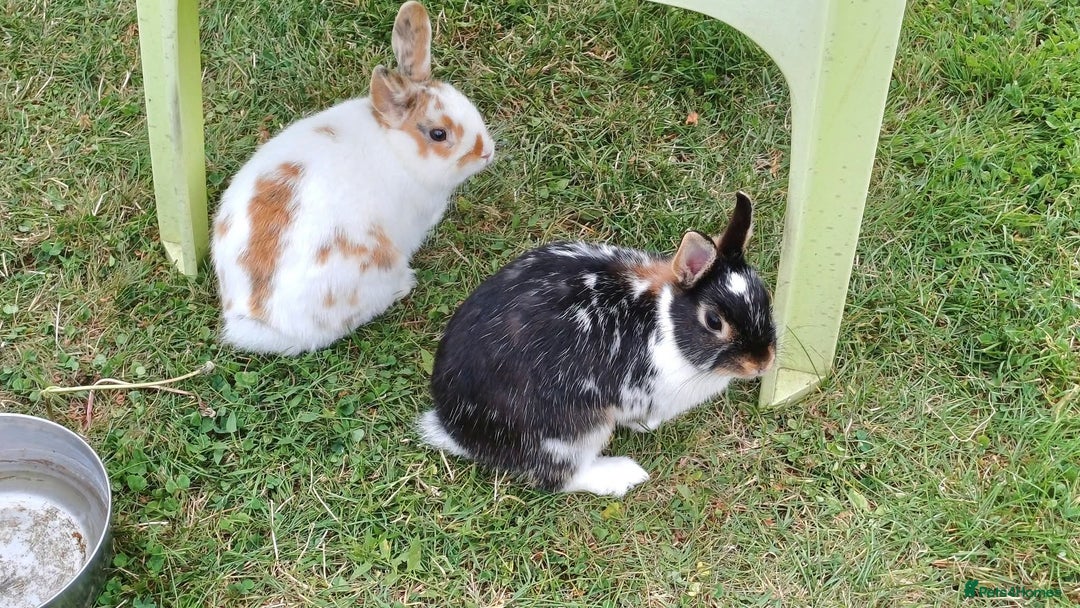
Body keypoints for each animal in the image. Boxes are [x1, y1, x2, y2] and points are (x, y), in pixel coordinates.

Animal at [418, 192, 776, 497]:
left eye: (766, 296)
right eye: (714, 321)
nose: (762, 362)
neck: (664, 320)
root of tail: (457, 430)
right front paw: (647, 426)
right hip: (570, 434)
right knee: (561, 477)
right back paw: (624, 474)